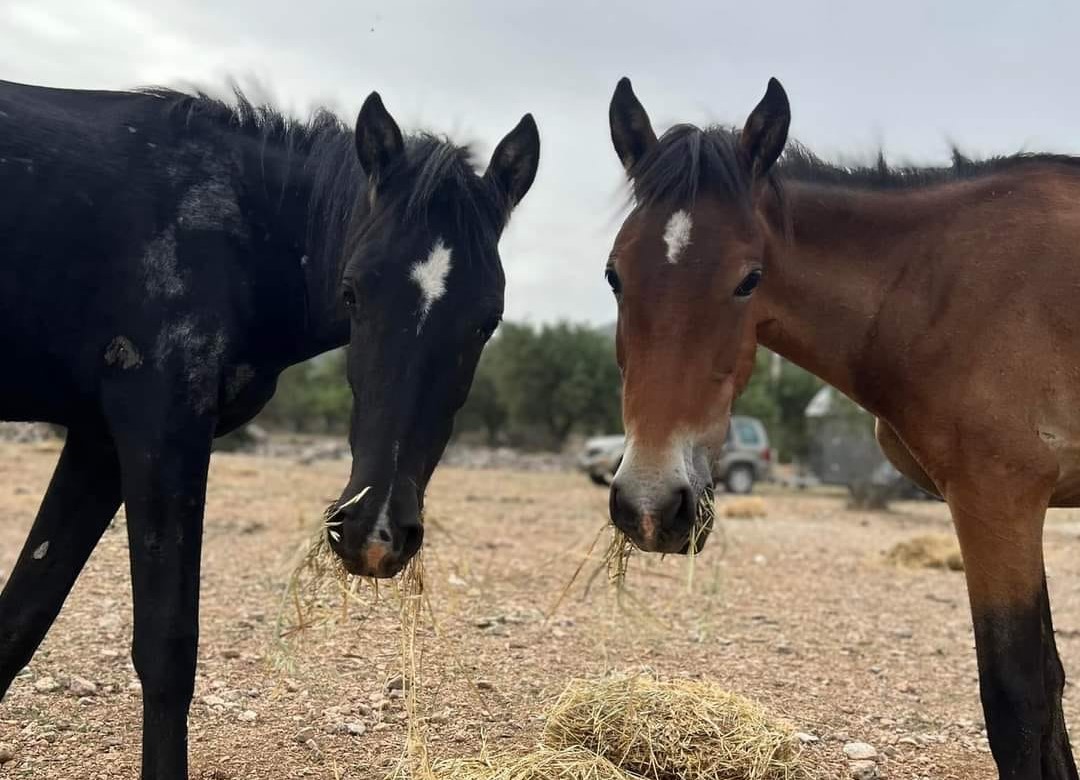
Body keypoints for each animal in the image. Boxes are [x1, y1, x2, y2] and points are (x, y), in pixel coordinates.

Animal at [0, 80, 540, 777]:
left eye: (488, 320)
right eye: (353, 293)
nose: (375, 533)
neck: (234, 232)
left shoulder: (97, 443)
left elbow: (21, 620)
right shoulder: (161, 427)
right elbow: (167, 651)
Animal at [609, 74, 1080, 777]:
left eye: (749, 280)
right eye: (614, 275)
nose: (650, 505)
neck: (948, 289)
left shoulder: (1000, 502)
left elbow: (1020, 697)